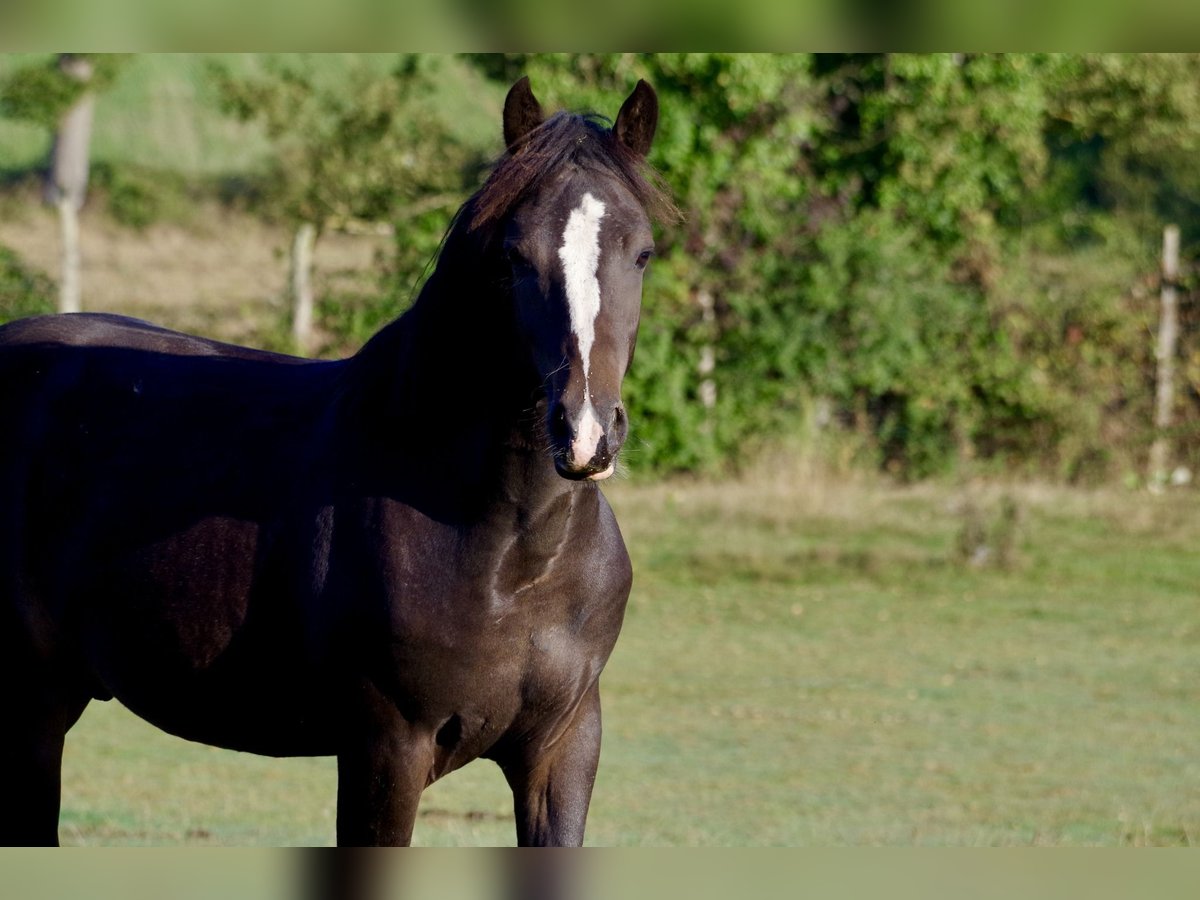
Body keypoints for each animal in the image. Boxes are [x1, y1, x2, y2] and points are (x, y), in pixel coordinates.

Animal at [0, 75, 676, 844]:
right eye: (514, 256)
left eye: (642, 253)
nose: (586, 432)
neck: (512, 553)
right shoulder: (385, 749)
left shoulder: (562, 750)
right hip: (31, 705)